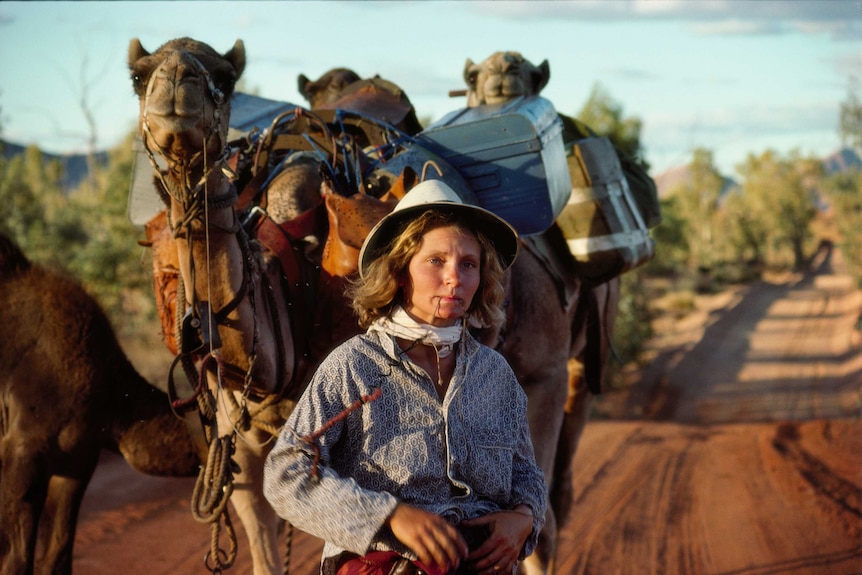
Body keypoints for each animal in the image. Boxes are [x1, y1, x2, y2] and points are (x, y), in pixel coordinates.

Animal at [128, 37, 616, 575]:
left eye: (223, 76)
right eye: (139, 75)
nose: (177, 85)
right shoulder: (237, 435)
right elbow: (264, 546)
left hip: (561, 366)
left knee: (551, 507)